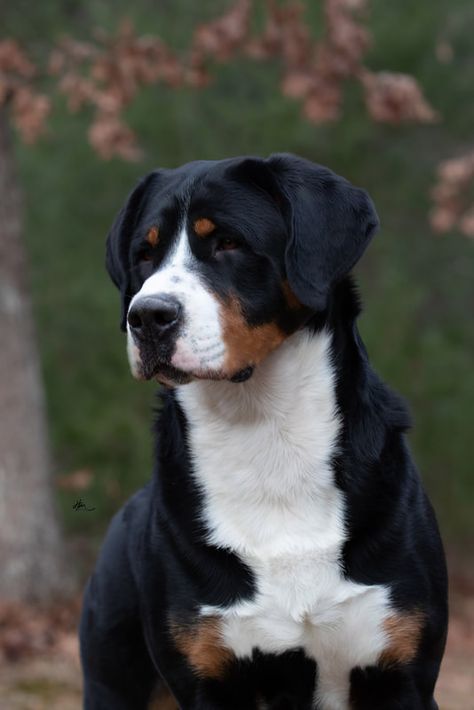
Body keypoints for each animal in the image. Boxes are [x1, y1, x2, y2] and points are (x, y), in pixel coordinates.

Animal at [80, 153, 448, 708]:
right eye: (144, 254)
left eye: (228, 243)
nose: (147, 315)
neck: (264, 432)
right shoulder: (207, 676)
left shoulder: (401, 671)